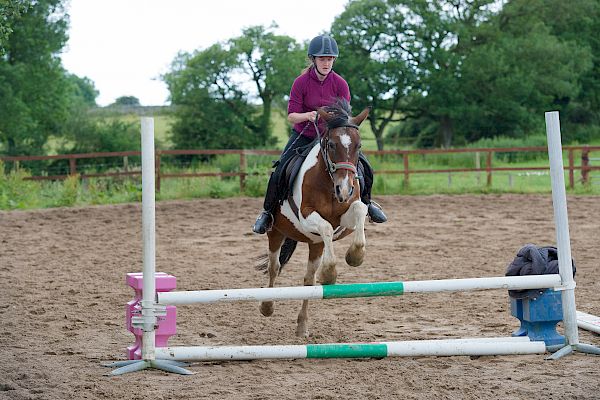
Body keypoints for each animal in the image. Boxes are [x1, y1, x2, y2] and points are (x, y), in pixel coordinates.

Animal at [258, 97, 370, 338]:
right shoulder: (307, 216)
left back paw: (302, 326)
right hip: (276, 232)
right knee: (274, 267)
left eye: (358, 146)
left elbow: (360, 210)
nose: (344, 189)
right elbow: (326, 226)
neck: (328, 182)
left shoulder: (346, 217)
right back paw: (267, 306)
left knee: (309, 280)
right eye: (332, 145)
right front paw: (329, 273)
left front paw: (355, 256)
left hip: (315, 244)